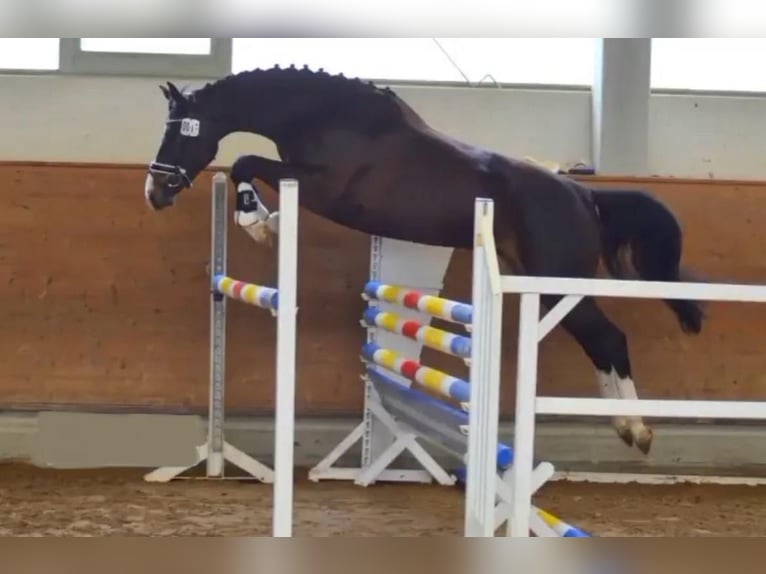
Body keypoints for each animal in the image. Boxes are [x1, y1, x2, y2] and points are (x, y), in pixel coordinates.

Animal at [143, 65, 705, 455]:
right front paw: (267, 220)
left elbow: (245, 161)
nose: (155, 192)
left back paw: (637, 429)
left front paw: (257, 221)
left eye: (180, 131)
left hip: (556, 280)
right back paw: (624, 426)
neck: (327, 117)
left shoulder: (323, 188)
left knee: (610, 338)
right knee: (598, 341)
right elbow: (249, 166)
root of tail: (583, 196)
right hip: (542, 285)